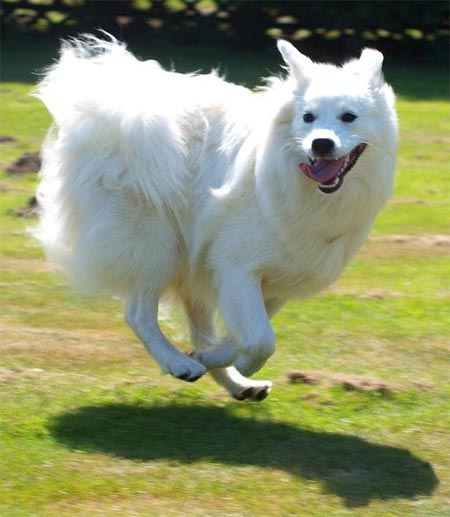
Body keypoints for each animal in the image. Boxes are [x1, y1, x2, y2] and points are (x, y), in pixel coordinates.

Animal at [35, 36, 398, 400]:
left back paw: (234, 382)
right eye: (308, 117)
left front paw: (212, 359)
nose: (321, 143)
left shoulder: (275, 281)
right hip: (155, 245)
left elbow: (241, 336)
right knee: (138, 314)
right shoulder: (236, 268)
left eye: (349, 117)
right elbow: (260, 340)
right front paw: (233, 362)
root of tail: (104, 106)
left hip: (191, 264)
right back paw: (178, 363)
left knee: (198, 327)